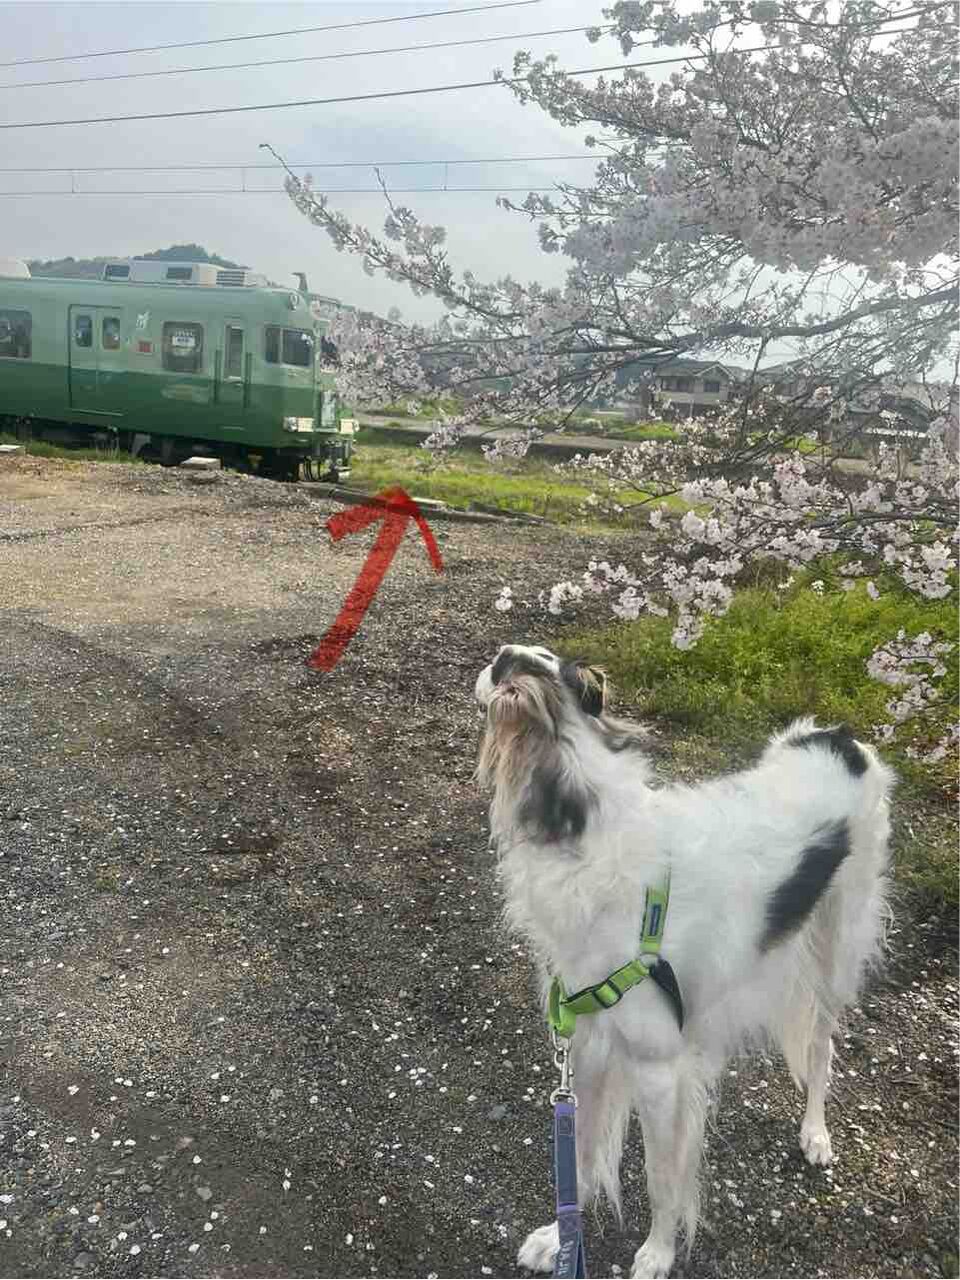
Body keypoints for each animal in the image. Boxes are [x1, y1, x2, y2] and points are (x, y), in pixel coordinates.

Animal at [474, 644, 893, 1279]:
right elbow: (582, 1150)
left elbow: (661, 1177)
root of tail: (840, 737)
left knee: (821, 1047)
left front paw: (657, 1253)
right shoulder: (587, 1042)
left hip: (834, 953)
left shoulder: (659, 1069)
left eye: (507, 664)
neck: (590, 835)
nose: (493, 658)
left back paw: (816, 1132)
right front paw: (561, 1238)